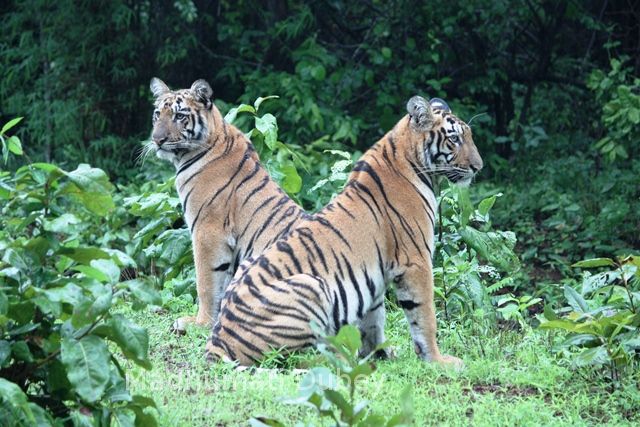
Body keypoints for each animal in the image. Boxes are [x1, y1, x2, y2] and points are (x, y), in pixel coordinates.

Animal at [150, 79, 310, 334]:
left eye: (179, 116)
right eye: (157, 114)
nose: (157, 140)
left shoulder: (207, 232)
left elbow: (205, 281)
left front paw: (200, 323)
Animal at [208, 95, 482, 366]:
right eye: (454, 139)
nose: (478, 167)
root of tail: (218, 342)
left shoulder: (376, 276)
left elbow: (374, 320)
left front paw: (379, 355)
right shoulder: (416, 261)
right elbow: (425, 317)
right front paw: (437, 360)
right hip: (311, 286)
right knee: (300, 360)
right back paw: (340, 357)